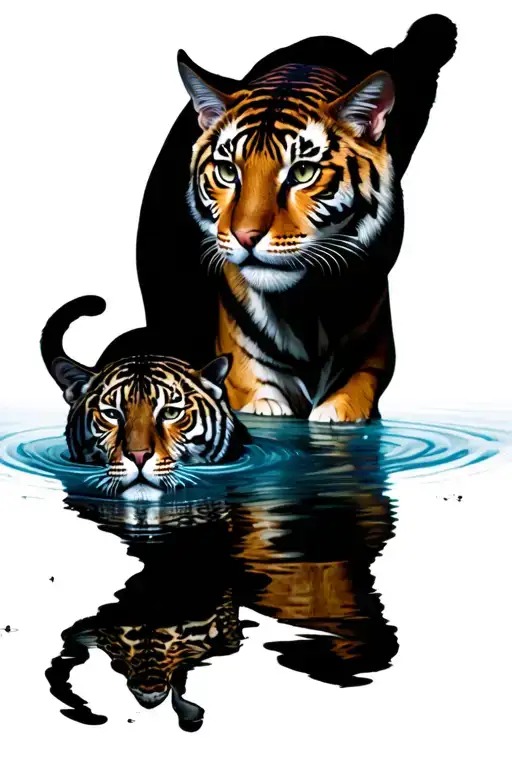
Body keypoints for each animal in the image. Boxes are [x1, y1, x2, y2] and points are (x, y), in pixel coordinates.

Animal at [136, 14, 457, 423]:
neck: (303, 309)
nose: (246, 236)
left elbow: (352, 392)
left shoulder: (370, 355)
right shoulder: (244, 372)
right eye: (227, 171)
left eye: (303, 172)